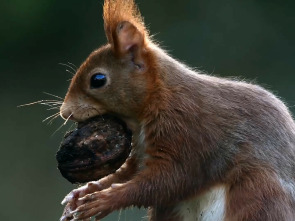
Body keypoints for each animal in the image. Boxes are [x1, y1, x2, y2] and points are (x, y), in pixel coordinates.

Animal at [59, 0, 295, 221]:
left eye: (98, 79)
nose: (64, 112)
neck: (158, 97)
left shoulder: (188, 131)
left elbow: (171, 179)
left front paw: (105, 200)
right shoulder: (143, 151)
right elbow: (130, 172)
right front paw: (84, 192)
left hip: (256, 192)